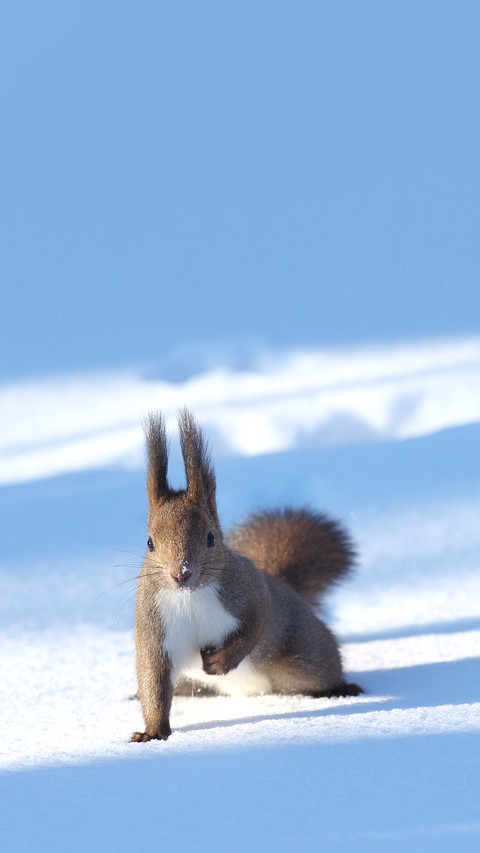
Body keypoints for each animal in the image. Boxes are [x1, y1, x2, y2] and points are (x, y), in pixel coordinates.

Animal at [131, 409, 362, 742]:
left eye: (211, 538)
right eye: (149, 543)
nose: (181, 574)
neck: (191, 597)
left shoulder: (251, 592)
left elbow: (254, 626)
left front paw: (219, 661)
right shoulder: (154, 628)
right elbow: (154, 682)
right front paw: (152, 734)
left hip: (305, 658)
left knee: (319, 672)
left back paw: (341, 688)